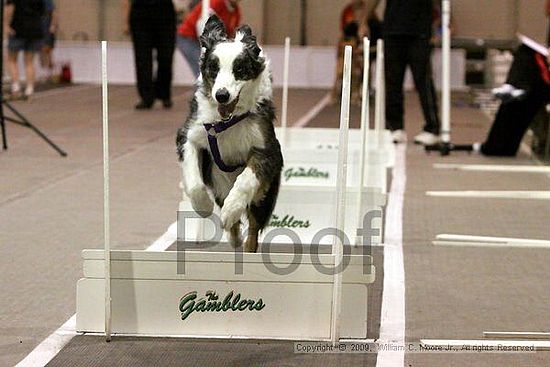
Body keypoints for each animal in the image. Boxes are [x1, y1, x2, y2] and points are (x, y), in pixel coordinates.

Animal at [178, 16, 284, 253]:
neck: (226, 122)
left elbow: (246, 180)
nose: (222, 95)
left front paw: (231, 209)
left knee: (253, 229)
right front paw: (203, 206)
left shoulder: (268, 149)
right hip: (219, 183)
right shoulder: (190, 134)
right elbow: (194, 180)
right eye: (213, 69)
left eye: (240, 69)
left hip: (264, 197)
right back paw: (233, 236)